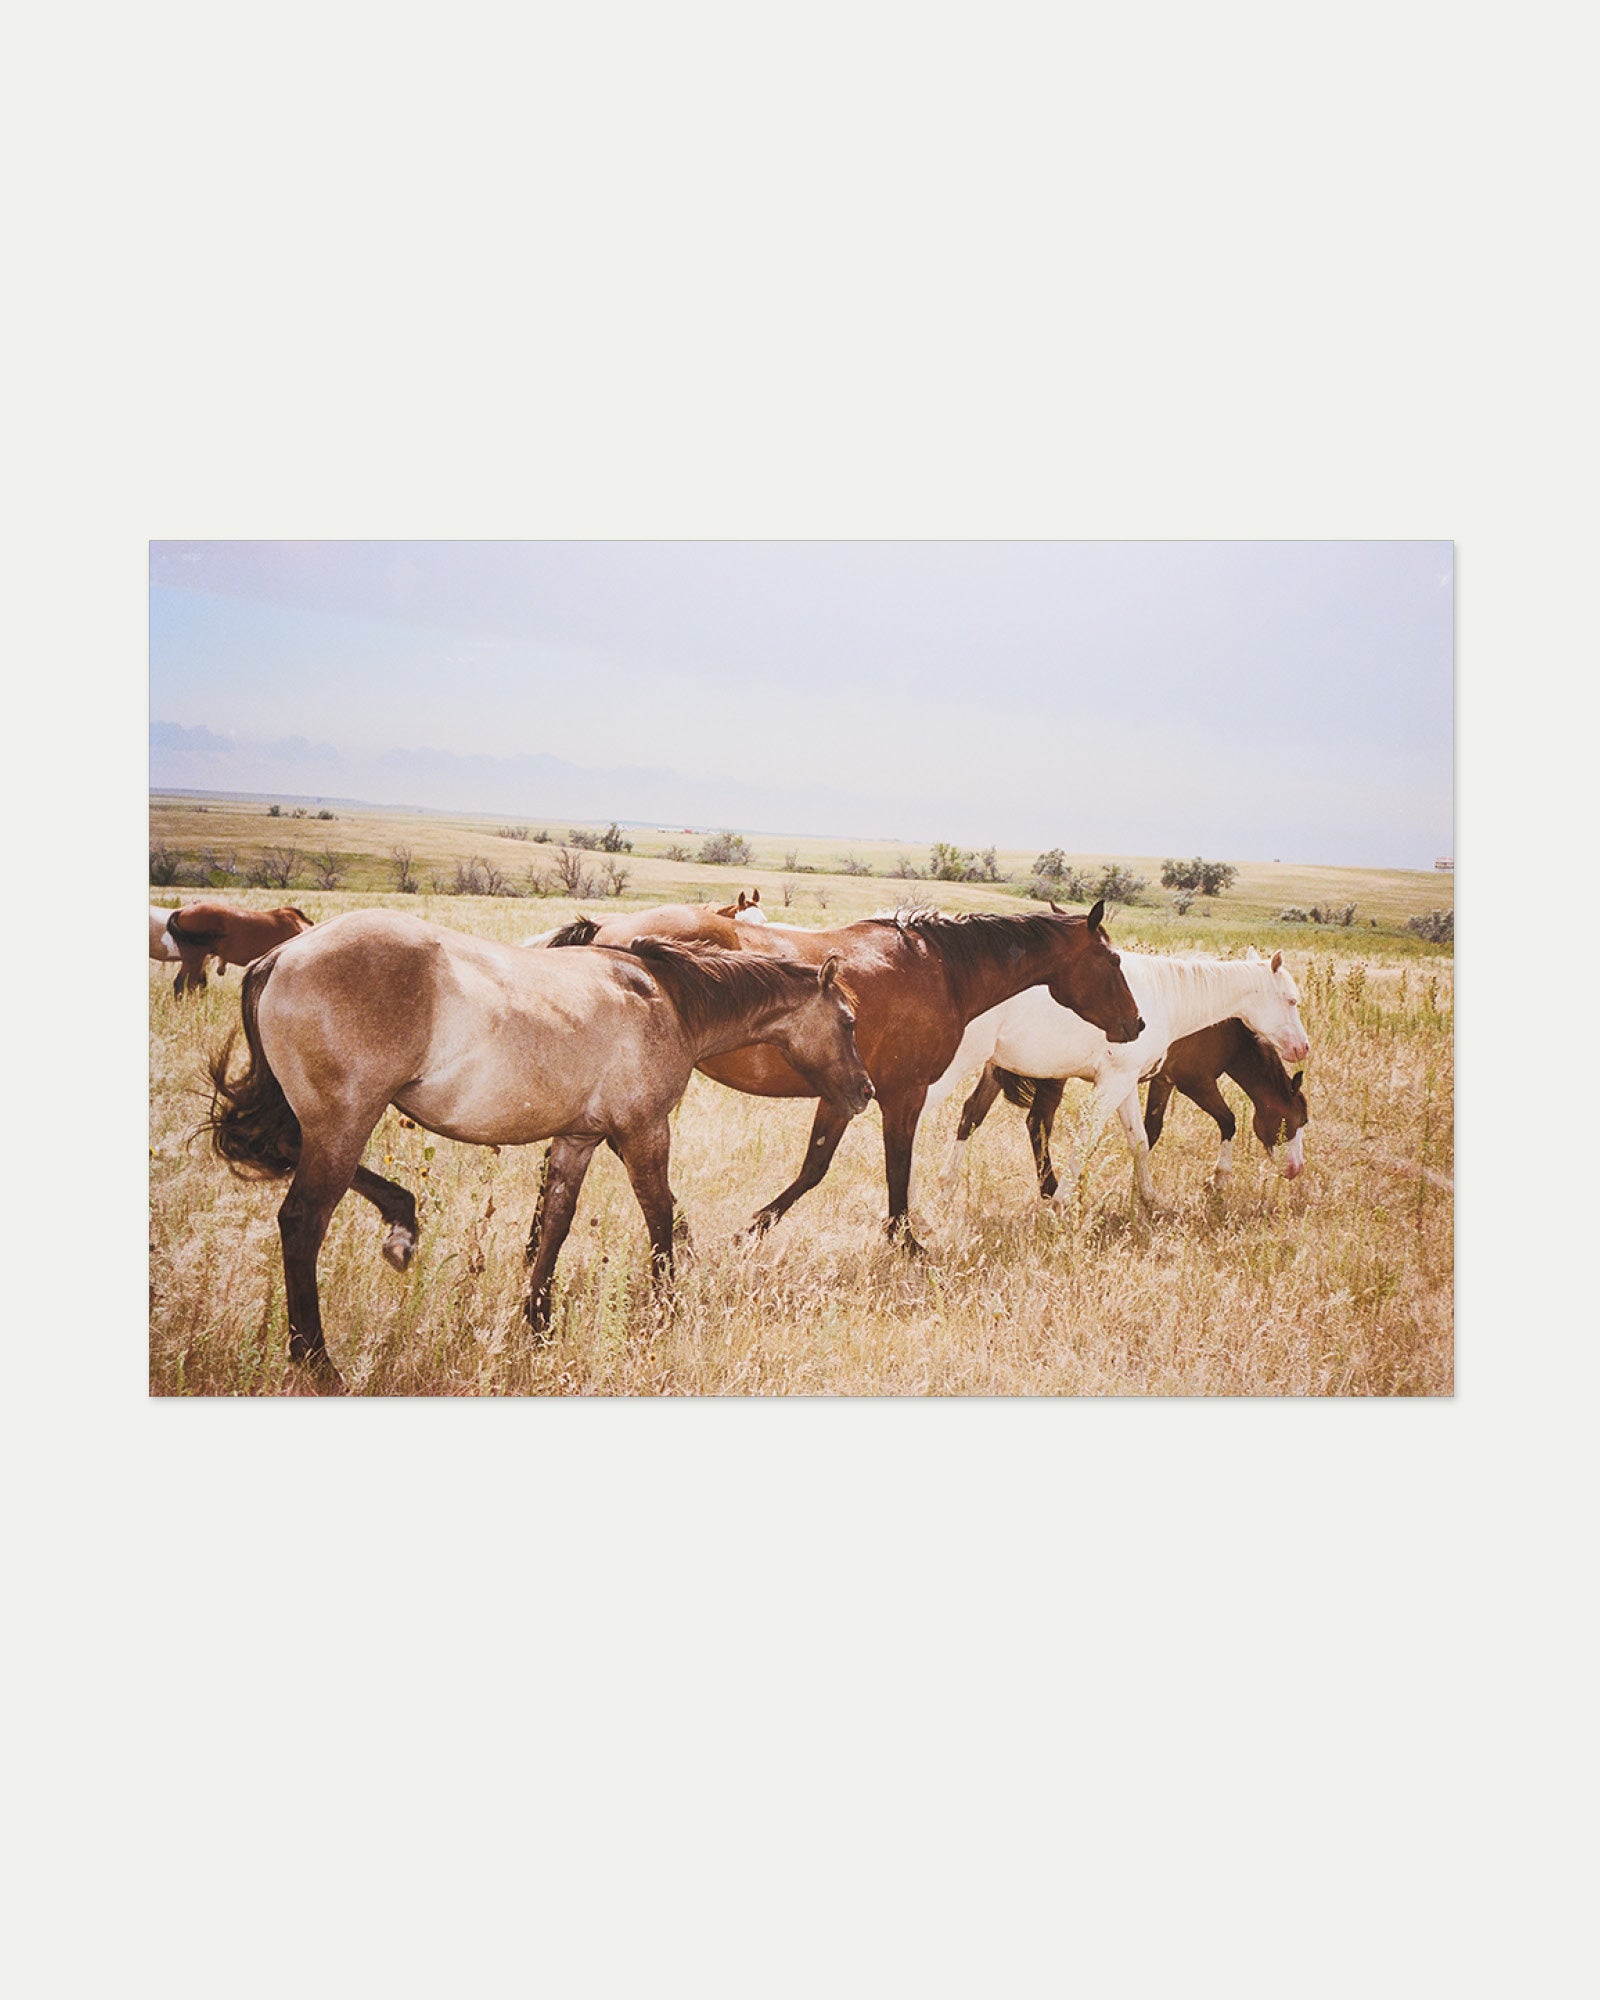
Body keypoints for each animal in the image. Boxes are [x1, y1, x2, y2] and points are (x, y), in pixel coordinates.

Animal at [206, 910, 873, 1392]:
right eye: (847, 1021)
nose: (864, 1092)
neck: (666, 998)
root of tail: (281, 954)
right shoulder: (644, 1131)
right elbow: (659, 1216)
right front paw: (667, 1312)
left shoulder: (578, 1139)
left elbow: (554, 1224)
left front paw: (539, 1322)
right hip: (345, 1121)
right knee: (302, 1221)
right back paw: (318, 1362)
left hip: (326, 1123)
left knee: (286, 1152)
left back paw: (401, 1221)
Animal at [551, 899, 1143, 1250]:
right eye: (1114, 961)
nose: (1136, 1023)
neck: (941, 970)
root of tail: (605, 928)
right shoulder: (901, 1095)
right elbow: (894, 1169)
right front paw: (905, 1242)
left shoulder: (843, 1095)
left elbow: (814, 1168)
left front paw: (752, 1229)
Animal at [991, 1018, 1309, 1201]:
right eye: (1294, 1120)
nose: (1296, 1169)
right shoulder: (1195, 1082)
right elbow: (1228, 1121)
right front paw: (1218, 1179)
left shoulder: (1163, 1080)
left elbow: (1149, 1132)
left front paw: (1136, 1187)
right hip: (1053, 1078)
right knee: (1038, 1123)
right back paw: (1050, 1187)